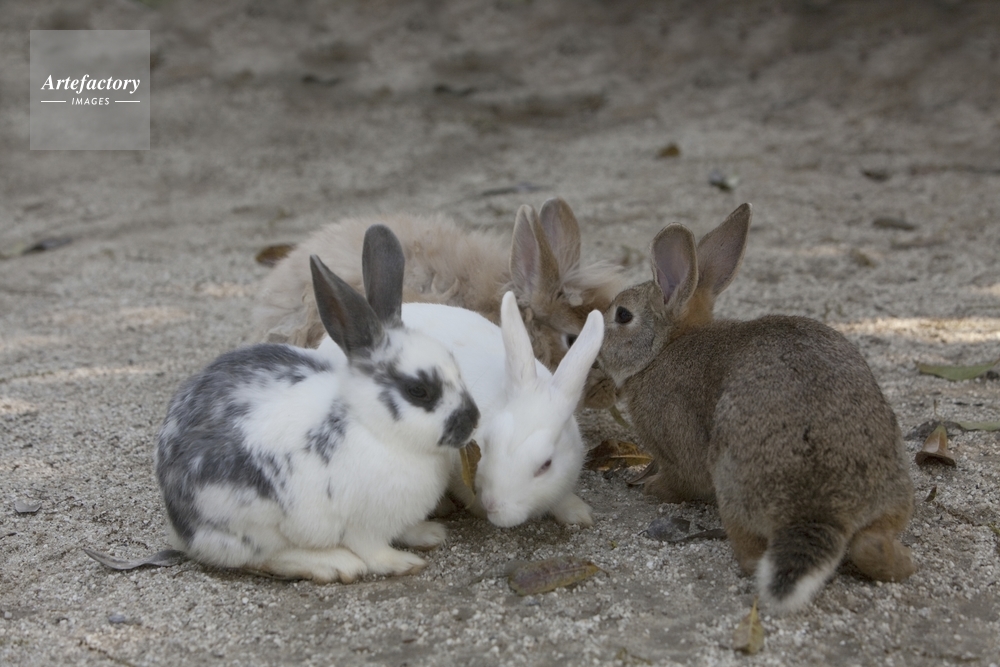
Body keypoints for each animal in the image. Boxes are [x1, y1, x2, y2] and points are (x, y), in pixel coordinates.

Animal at [154, 225, 480, 583]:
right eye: (418, 390)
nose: (472, 420)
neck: (372, 426)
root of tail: (179, 526)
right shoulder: (361, 525)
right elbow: (373, 551)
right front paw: (402, 562)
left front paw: (429, 534)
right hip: (250, 525)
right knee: (263, 558)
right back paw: (335, 564)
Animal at [597, 203, 916, 613]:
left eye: (622, 315)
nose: (594, 347)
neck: (665, 347)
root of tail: (824, 510)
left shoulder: (677, 446)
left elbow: (682, 479)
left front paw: (652, 488)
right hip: (893, 492)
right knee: (872, 545)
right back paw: (907, 562)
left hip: (732, 485)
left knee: (753, 554)